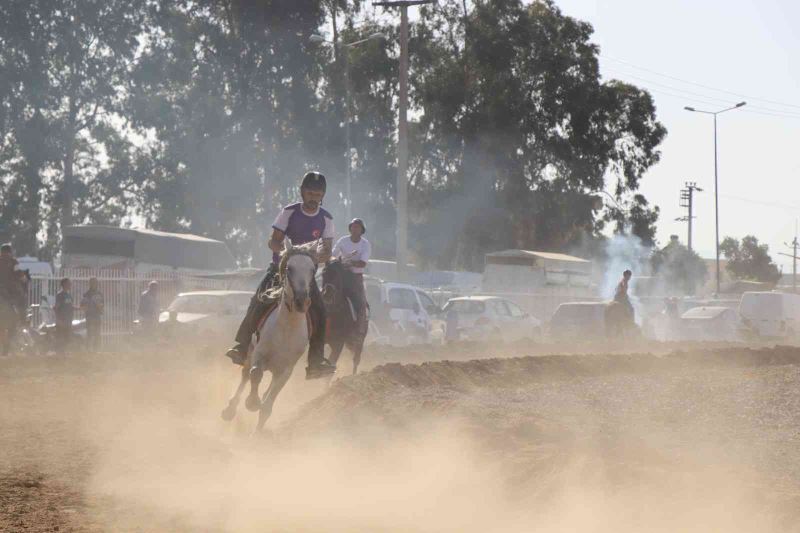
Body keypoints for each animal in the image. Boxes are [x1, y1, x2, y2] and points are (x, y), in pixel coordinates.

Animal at [220, 239, 320, 430]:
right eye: (289, 268)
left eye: (312, 269)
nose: (301, 301)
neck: (287, 328)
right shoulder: (259, 353)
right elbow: (255, 374)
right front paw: (252, 402)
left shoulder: (286, 370)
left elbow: (267, 407)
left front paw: (257, 432)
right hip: (250, 350)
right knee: (246, 374)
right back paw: (229, 409)